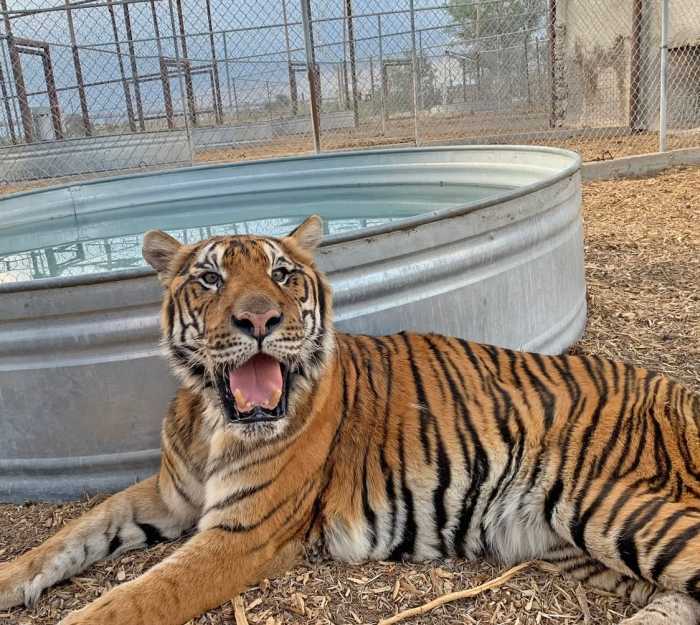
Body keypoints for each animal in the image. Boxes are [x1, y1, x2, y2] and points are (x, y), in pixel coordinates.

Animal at [1, 215, 699, 625]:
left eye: (282, 274)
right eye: (209, 278)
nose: (259, 320)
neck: (211, 417)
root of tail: (681, 392)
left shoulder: (241, 532)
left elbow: (134, 596)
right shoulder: (170, 497)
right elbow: (73, 534)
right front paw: (11, 578)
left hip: (612, 507)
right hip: (565, 542)